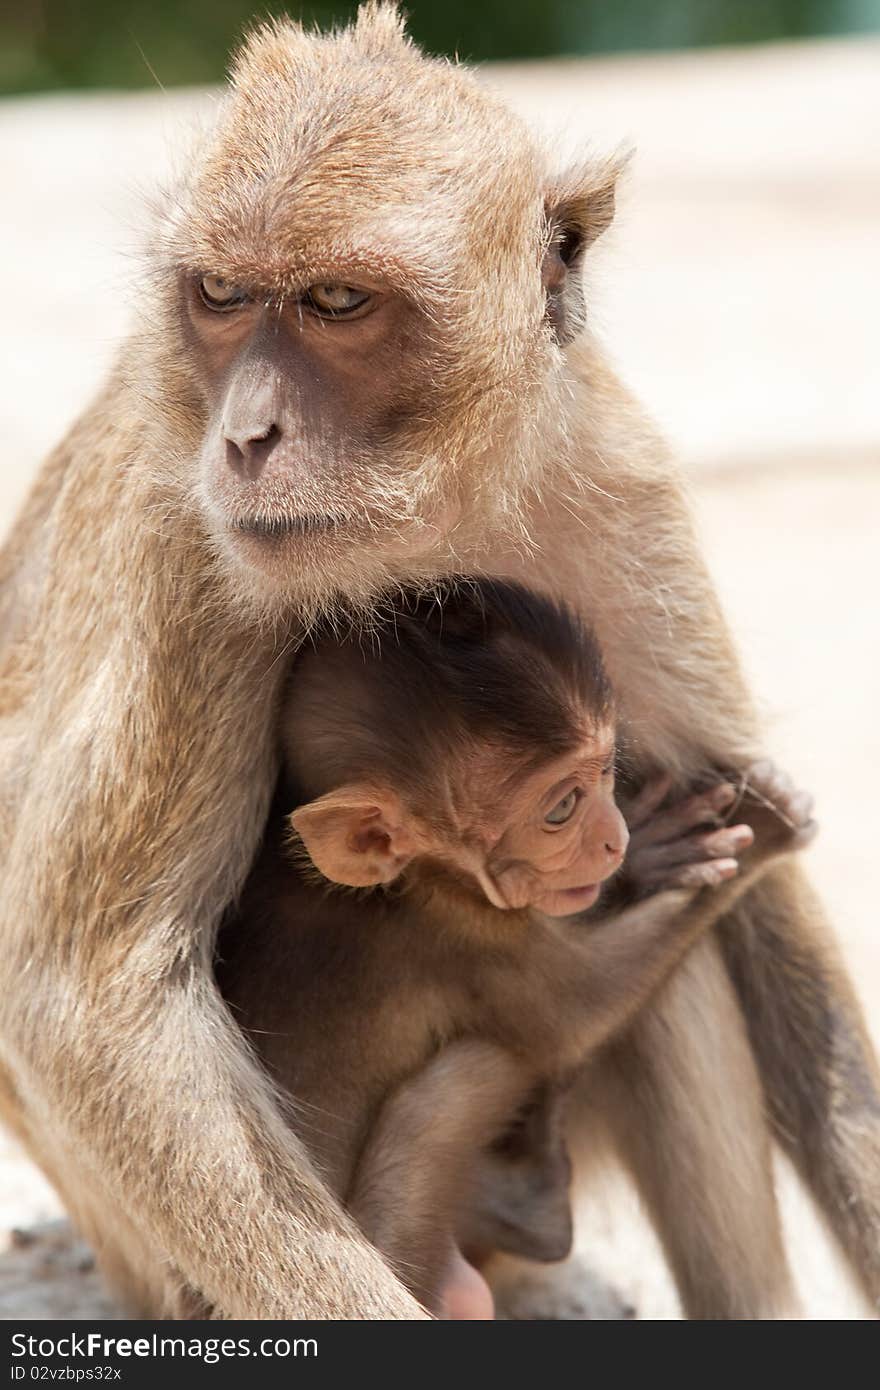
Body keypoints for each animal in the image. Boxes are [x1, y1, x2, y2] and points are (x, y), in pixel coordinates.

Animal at [218, 581, 811, 1317]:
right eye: (560, 809)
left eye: (608, 771)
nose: (614, 839)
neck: (412, 881)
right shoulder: (467, 938)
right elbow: (576, 1008)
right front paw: (765, 826)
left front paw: (653, 852)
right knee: (452, 1088)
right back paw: (535, 1200)